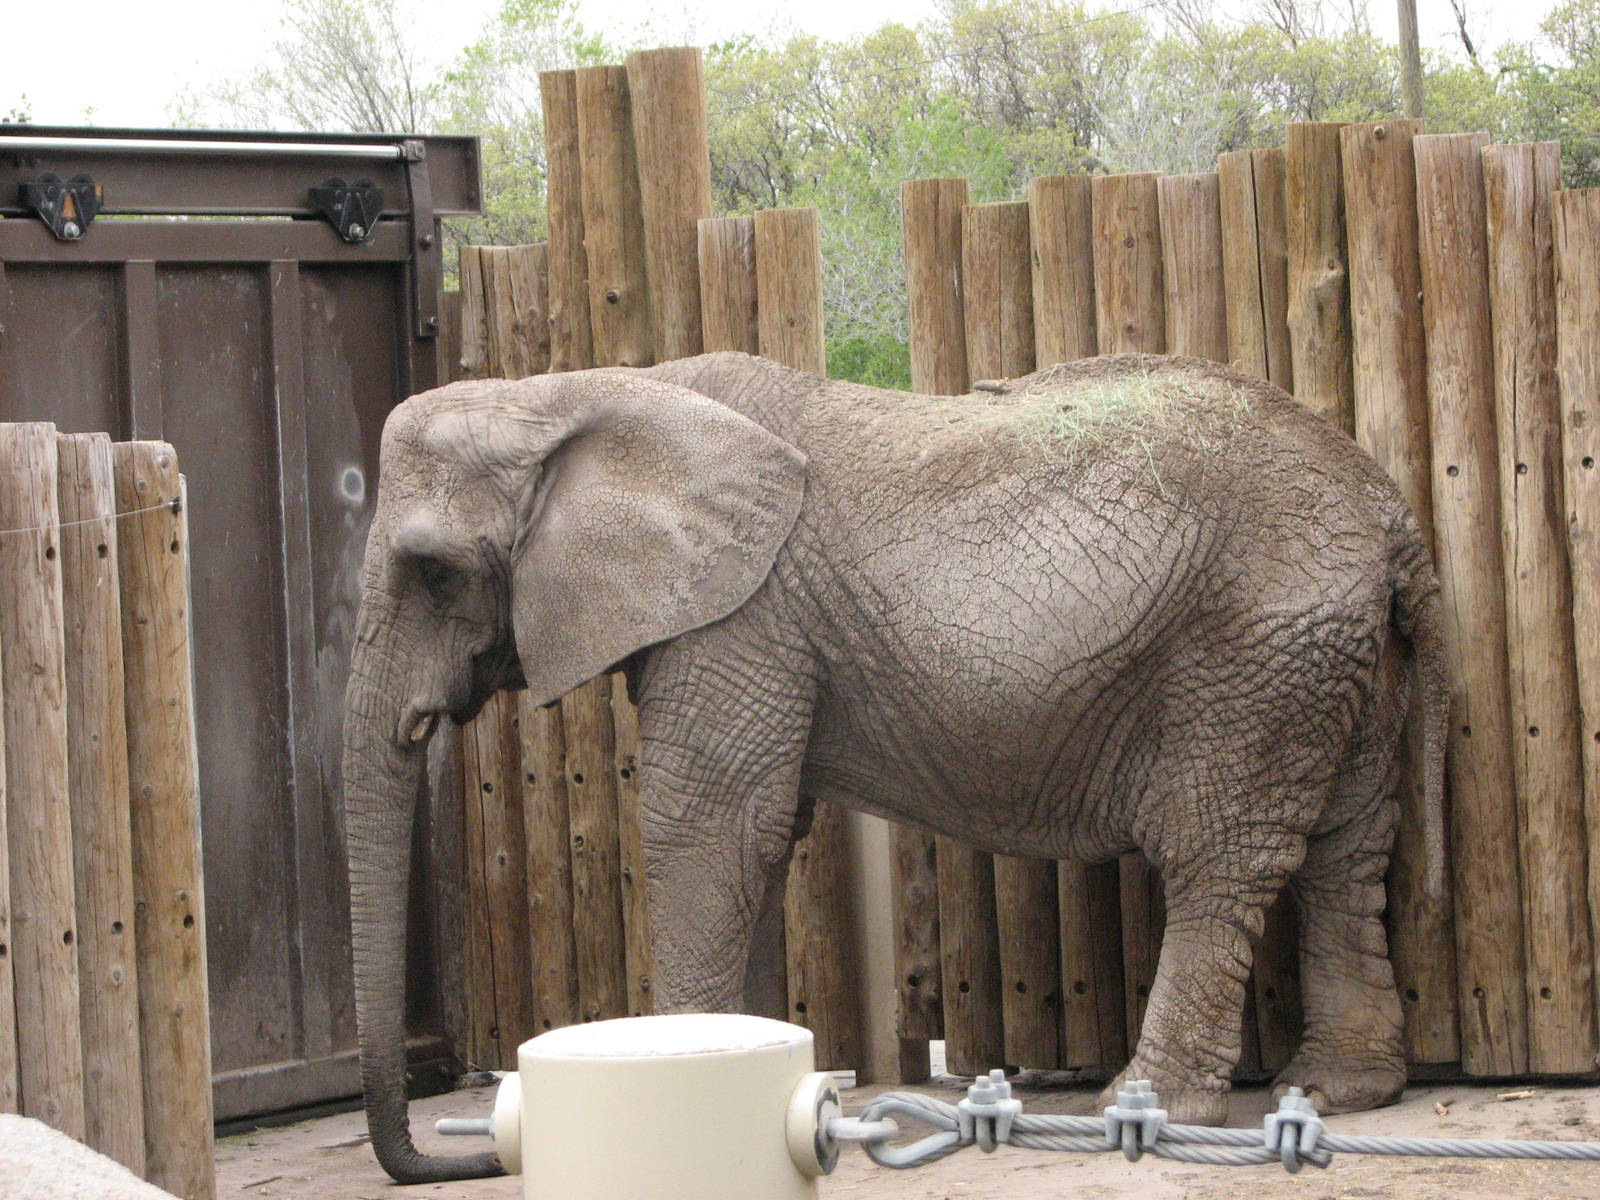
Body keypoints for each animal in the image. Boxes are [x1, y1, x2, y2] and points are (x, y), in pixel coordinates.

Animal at [341, 350, 1446, 1183]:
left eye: (435, 573)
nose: (464, 1156)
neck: (575, 391)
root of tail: (1388, 511)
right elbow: (756, 837)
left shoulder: (741, 618)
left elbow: (709, 830)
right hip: (1335, 658)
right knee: (1347, 850)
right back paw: (1345, 1089)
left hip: (1251, 653)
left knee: (1220, 860)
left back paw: (1148, 1108)